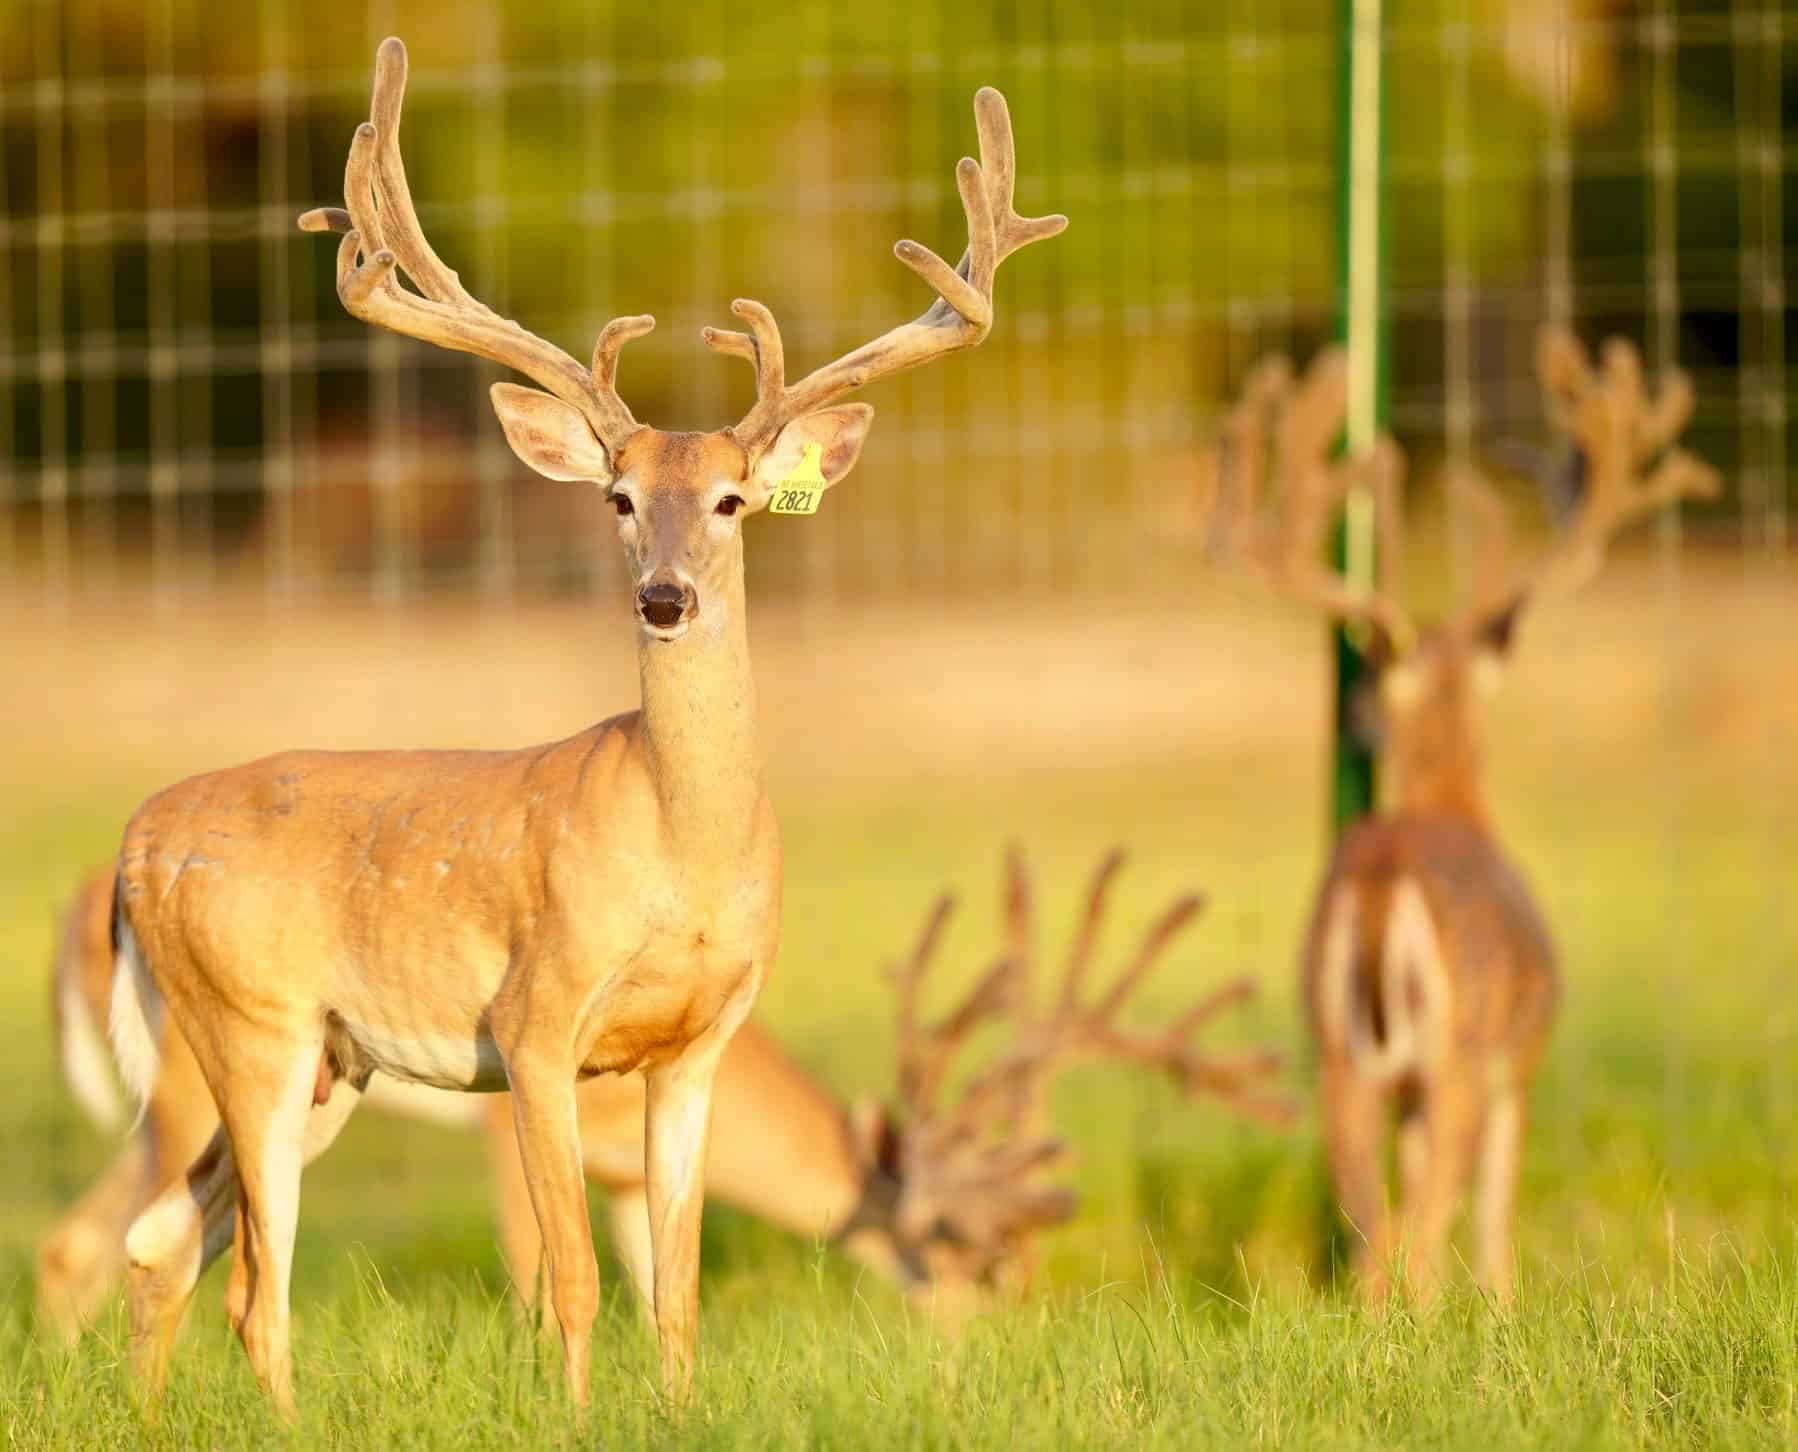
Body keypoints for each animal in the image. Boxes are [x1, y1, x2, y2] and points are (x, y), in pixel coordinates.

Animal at [105, 36, 1065, 1415]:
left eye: (730, 500)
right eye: (615, 496)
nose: (663, 597)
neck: (683, 858)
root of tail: (133, 844)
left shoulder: (698, 1043)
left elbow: (677, 1290)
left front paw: (678, 1410)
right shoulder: (535, 1023)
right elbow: (571, 1283)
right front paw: (575, 1416)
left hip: (334, 1063)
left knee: (164, 1246)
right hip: (251, 1024)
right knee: (249, 1289)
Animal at [1198, 326, 1720, 1301]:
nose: (1356, 713)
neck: (1456, 802)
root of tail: (1383, 879)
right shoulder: (1520, 1061)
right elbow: (1494, 1220)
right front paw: (1504, 1313)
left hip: (1340, 1056)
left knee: (1375, 1233)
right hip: (1462, 1051)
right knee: (1421, 1226)